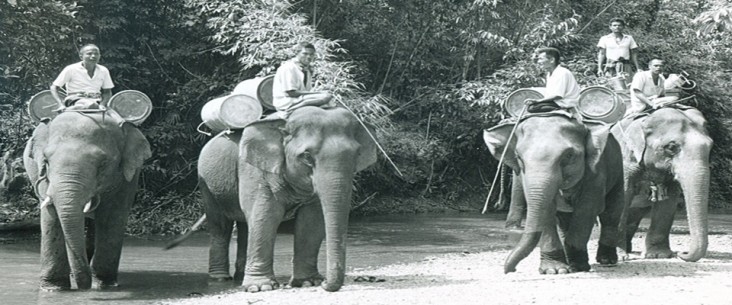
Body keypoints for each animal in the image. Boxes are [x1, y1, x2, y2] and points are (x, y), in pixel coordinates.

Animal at [23, 110, 152, 290]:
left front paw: (104, 285)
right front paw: (53, 288)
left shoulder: (128, 177)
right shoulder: (43, 177)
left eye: (103, 163)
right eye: (46, 161)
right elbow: (51, 218)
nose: (83, 287)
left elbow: (112, 217)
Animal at [196, 105, 378, 290]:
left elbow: (312, 220)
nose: (325, 283)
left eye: (357, 154)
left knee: (245, 226)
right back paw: (220, 279)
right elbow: (266, 215)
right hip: (207, 185)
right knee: (220, 226)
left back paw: (239, 278)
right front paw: (260, 288)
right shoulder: (255, 169)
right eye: (307, 156)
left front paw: (308, 282)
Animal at [484, 111, 628, 274]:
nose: (511, 270)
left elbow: (587, 209)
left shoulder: (597, 171)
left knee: (611, 212)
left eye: (569, 155)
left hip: (618, 167)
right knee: (566, 219)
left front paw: (578, 267)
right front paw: (554, 270)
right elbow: (547, 210)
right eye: (519, 157)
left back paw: (606, 260)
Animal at [608, 105, 712, 260]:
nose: (681, 253)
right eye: (671, 147)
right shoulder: (623, 160)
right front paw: (620, 257)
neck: (644, 120)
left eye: (711, 146)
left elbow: (668, 201)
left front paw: (658, 255)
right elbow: (623, 195)